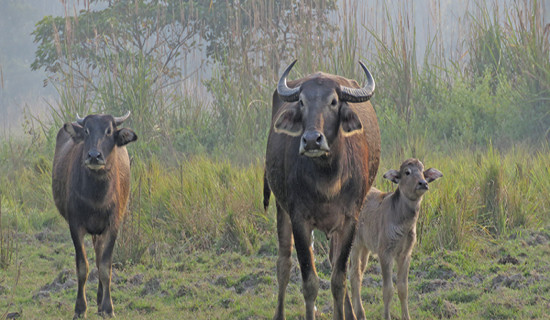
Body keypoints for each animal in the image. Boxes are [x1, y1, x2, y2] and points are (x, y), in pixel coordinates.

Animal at [52, 111, 137, 318]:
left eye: (109, 131)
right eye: (87, 131)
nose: (94, 156)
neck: (97, 196)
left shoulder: (113, 226)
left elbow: (105, 266)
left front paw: (108, 307)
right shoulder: (75, 226)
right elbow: (83, 266)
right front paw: (80, 308)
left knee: (99, 259)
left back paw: (100, 300)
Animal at [266, 60, 382, 320]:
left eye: (333, 101)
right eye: (301, 102)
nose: (311, 140)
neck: (328, 179)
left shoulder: (350, 220)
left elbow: (339, 279)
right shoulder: (299, 219)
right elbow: (309, 282)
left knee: (333, 262)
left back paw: (350, 313)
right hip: (281, 209)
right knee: (283, 264)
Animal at [354, 159, 444, 318]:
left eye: (422, 171)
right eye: (407, 172)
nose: (423, 183)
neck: (403, 224)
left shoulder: (405, 254)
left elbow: (403, 289)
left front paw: (406, 316)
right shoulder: (385, 253)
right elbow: (388, 290)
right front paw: (386, 316)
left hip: (365, 247)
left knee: (358, 275)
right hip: (352, 244)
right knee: (351, 275)